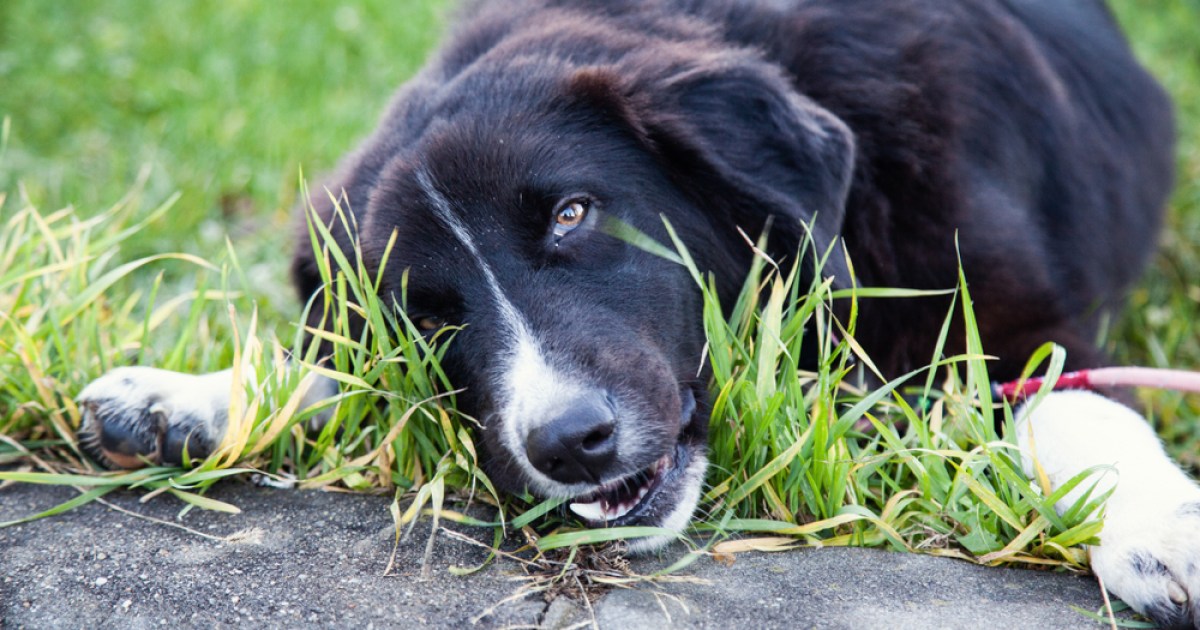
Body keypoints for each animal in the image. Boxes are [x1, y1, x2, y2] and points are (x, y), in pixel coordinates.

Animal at [79, 1, 1195, 624]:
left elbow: (1081, 406)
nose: (569, 444)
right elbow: (343, 367)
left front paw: (1160, 529)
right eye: (429, 314)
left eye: (572, 213)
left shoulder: (1013, 318)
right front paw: (189, 395)